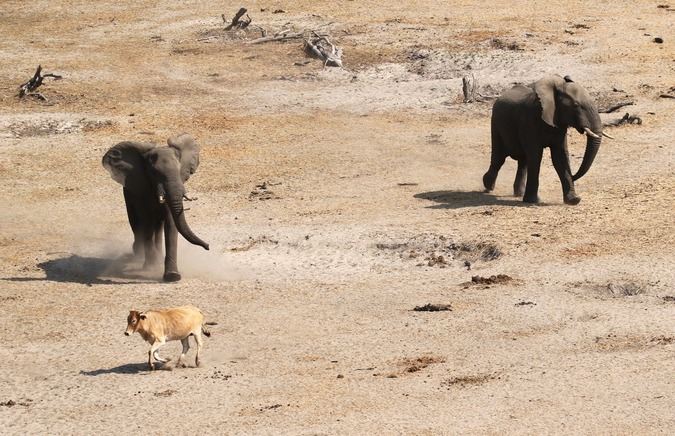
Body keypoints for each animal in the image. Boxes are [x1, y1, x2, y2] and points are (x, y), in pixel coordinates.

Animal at [101, 134, 209, 282]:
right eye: (153, 173)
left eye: (179, 169)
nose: (208, 246)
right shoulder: (142, 192)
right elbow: (147, 222)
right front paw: (151, 268)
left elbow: (171, 224)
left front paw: (172, 276)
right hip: (128, 195)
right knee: (137, 223)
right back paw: (139, 254)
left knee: (158, 227)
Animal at [480, 74, 612, 204]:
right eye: (576, 105)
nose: (573, 176)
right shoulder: (530, 121)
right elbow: (536, 155)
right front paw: (532, 201)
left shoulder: (559, 125)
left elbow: (560, 156)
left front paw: (574, 200)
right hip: (495, 124)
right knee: (499, 158)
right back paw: (488, 186)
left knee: (522, 162)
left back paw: (519, 193)